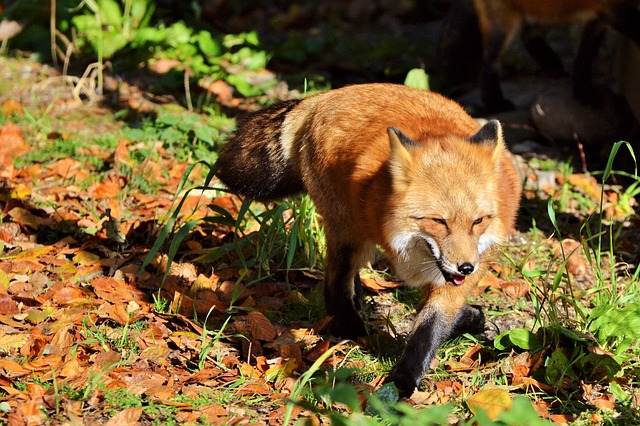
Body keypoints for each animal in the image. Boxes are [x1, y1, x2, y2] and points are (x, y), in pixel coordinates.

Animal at [215, 85, 520, 398]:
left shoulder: (466, 266)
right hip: (350, 234)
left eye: (478, 221)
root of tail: (325, 95)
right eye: (439, 221)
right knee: (334, 286)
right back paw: (353, 329)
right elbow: (426, 330)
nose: (466, 268)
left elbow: (431, 325)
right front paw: (402, 383)